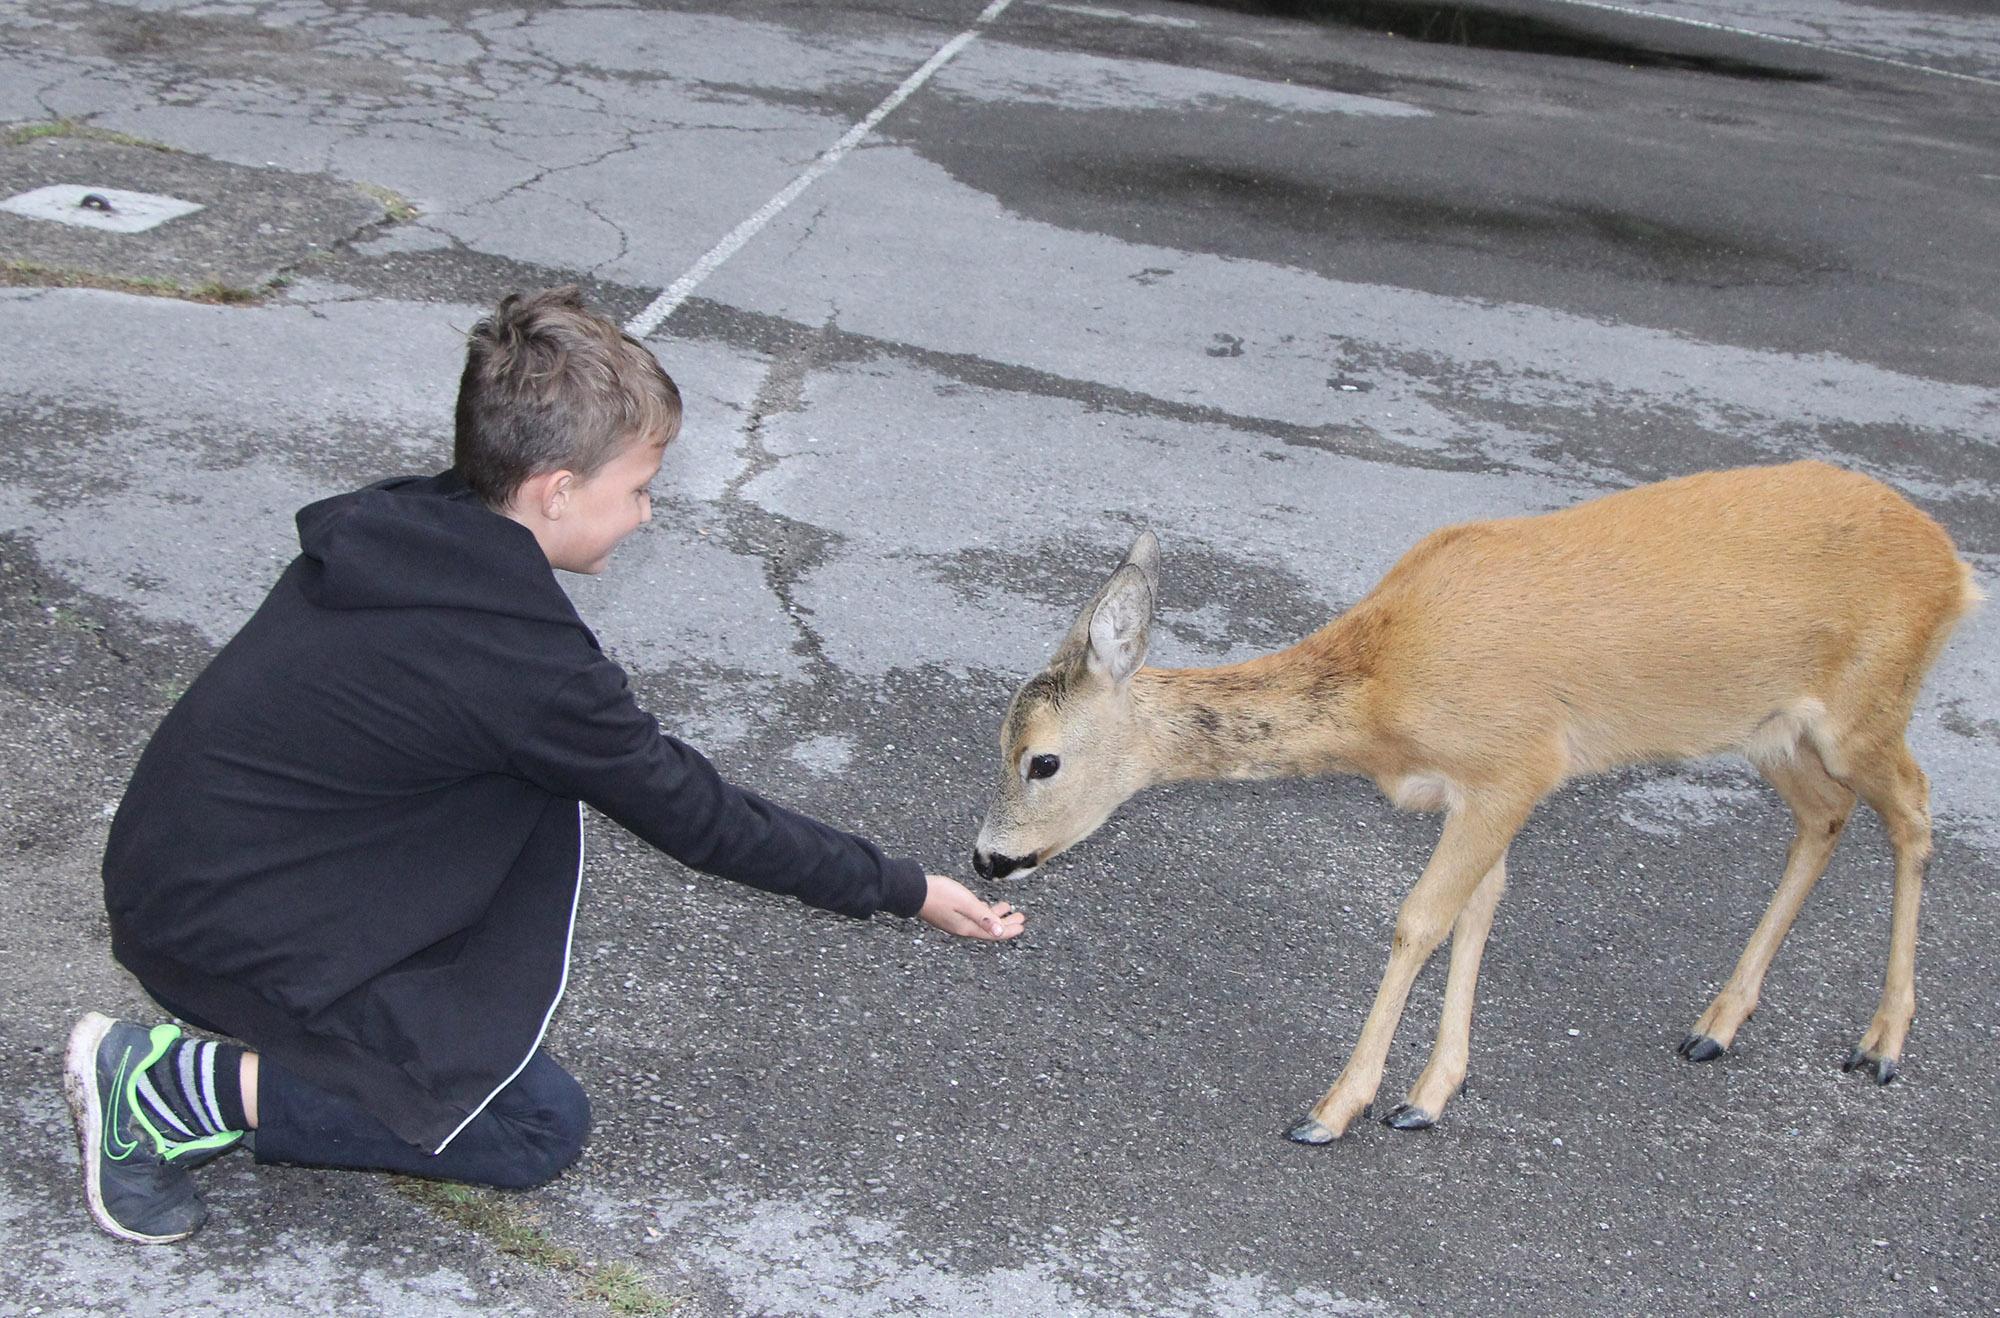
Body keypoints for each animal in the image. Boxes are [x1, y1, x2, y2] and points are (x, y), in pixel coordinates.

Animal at [972, 464, 1984, 1144]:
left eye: (1041, 760)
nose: (987, 856)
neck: (1386, 689)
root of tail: (1955, 568)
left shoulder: (1516, 762)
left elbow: (1419, 918)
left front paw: (1335, 1108)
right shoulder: (1480, 790)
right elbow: (1479, 909)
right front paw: (1427, 1097)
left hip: (1865, 706)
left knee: (1916, 808)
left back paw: (1882, 1042)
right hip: (1774, 730)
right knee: (1825, 815)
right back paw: (1716, 1027)